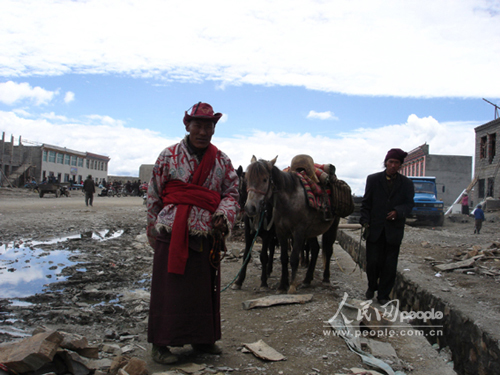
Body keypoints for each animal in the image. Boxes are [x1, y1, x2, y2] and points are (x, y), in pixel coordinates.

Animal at [243, 156, 340, 294]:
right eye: (247, 180)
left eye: (265, 179)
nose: (250, 208)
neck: (288, 201)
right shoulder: (281, 232)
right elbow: (284, 258)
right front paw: (282, 286)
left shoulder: (298, 232)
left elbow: (294, 258)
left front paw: (292, 287)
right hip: (311, 231)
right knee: (315, 249)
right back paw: (307, 280)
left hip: (332, 228)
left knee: (329, 249)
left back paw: (326, 278)